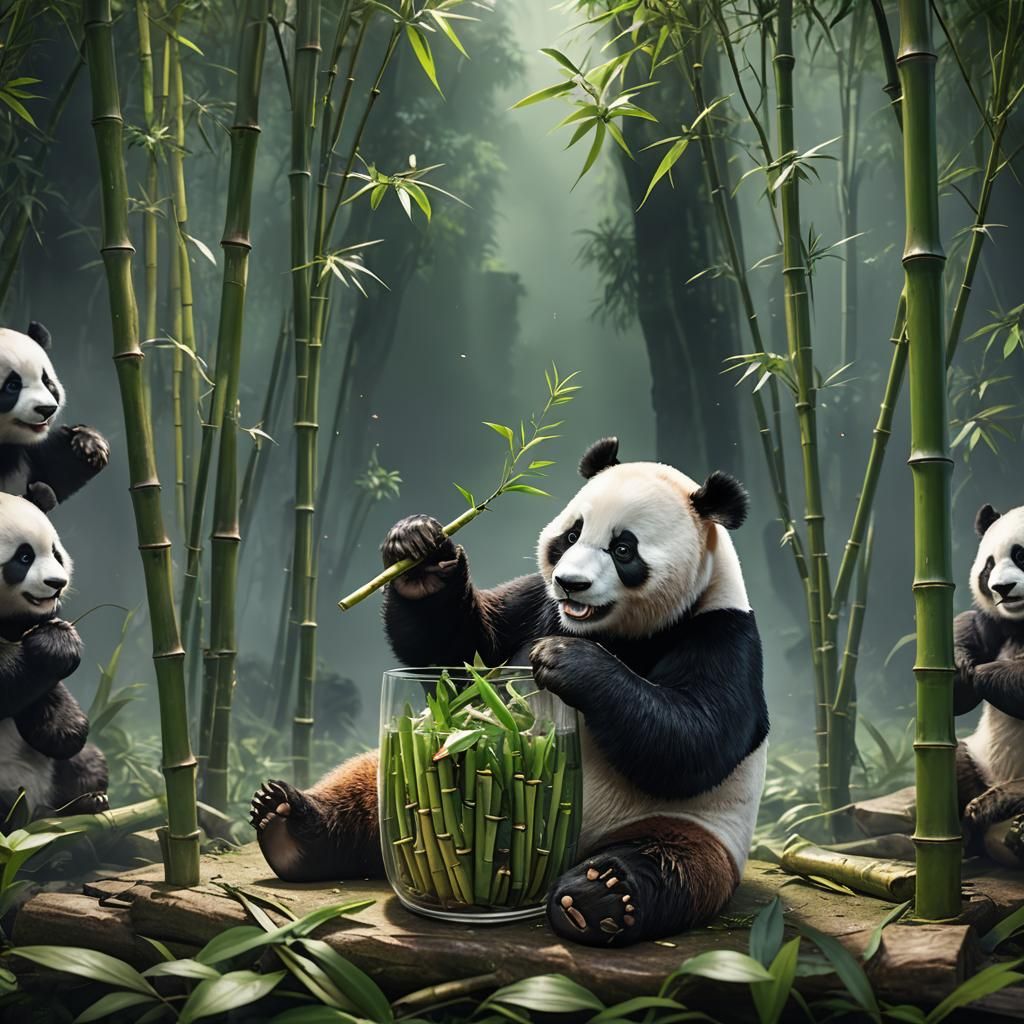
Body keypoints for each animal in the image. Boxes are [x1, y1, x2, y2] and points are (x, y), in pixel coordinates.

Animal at [0, 322, 109, 501]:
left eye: (47, 383)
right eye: (12, 386)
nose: (47, 409)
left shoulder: (28, 450)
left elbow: (57, 474)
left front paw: (90, 443)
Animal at [0, 487, 108, 817]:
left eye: (56, 553)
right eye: (24, 557)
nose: (57, 583)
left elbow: (46, 692)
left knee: (86, 761)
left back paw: (88, 801)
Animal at [251, 438, 767, 946]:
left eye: (624, 549)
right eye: (571, 536)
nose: (571, 583)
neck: (611, 631)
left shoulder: (721, 632)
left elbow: (694, 741)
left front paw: (566, 661)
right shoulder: (537, 602)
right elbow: (460, 651)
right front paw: (419, 550)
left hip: (693, 829)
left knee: (669, 862)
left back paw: (598, 897)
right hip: (398, 782)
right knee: (365, 794)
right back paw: (287, 824)